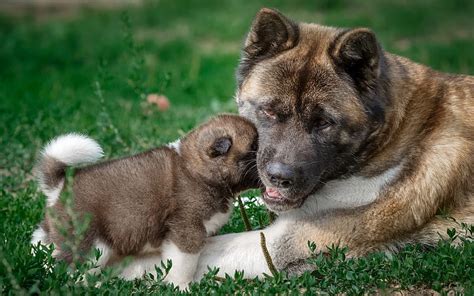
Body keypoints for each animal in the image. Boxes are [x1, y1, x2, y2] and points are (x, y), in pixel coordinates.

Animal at [30, 114, 260, 288]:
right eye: (254, 146)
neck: (198, 169)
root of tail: (60, 187)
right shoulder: (187, 231)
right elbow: (184, 264)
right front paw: (182, 286)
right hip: (91, 244)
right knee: (75, 269)